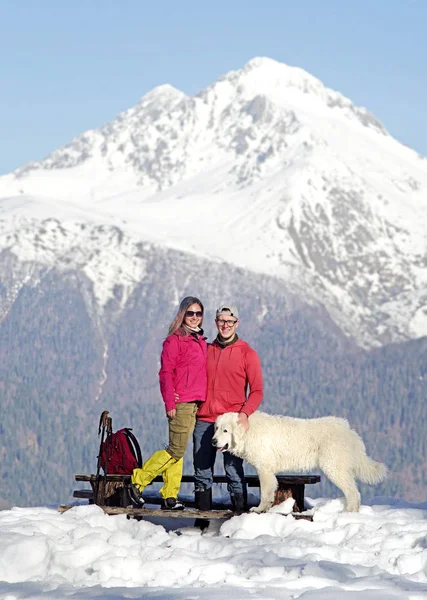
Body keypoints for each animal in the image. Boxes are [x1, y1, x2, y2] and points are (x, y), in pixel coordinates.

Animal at [214, 412, 388, 510]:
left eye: (225, 430)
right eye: (216, 428)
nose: (213, 441)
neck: (247, 431)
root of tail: (349, 431)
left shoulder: (264, 469)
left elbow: (265, 493)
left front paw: (259, 509)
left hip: (334, 468)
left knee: (353, 493)